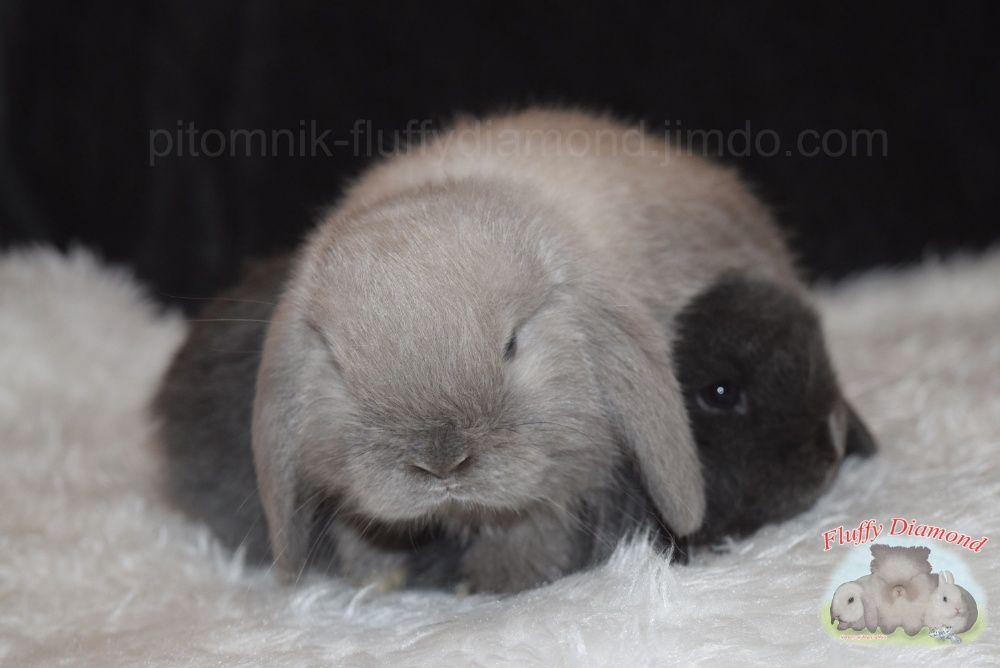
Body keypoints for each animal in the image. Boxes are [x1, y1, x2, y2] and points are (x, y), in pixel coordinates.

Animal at [153, 108, 875, 593]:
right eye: (338, 365)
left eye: (512, 343)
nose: (442, 461)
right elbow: (363, 534)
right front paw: (377, 581)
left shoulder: (566, 481)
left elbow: (532, 531)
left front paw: (501, 586)